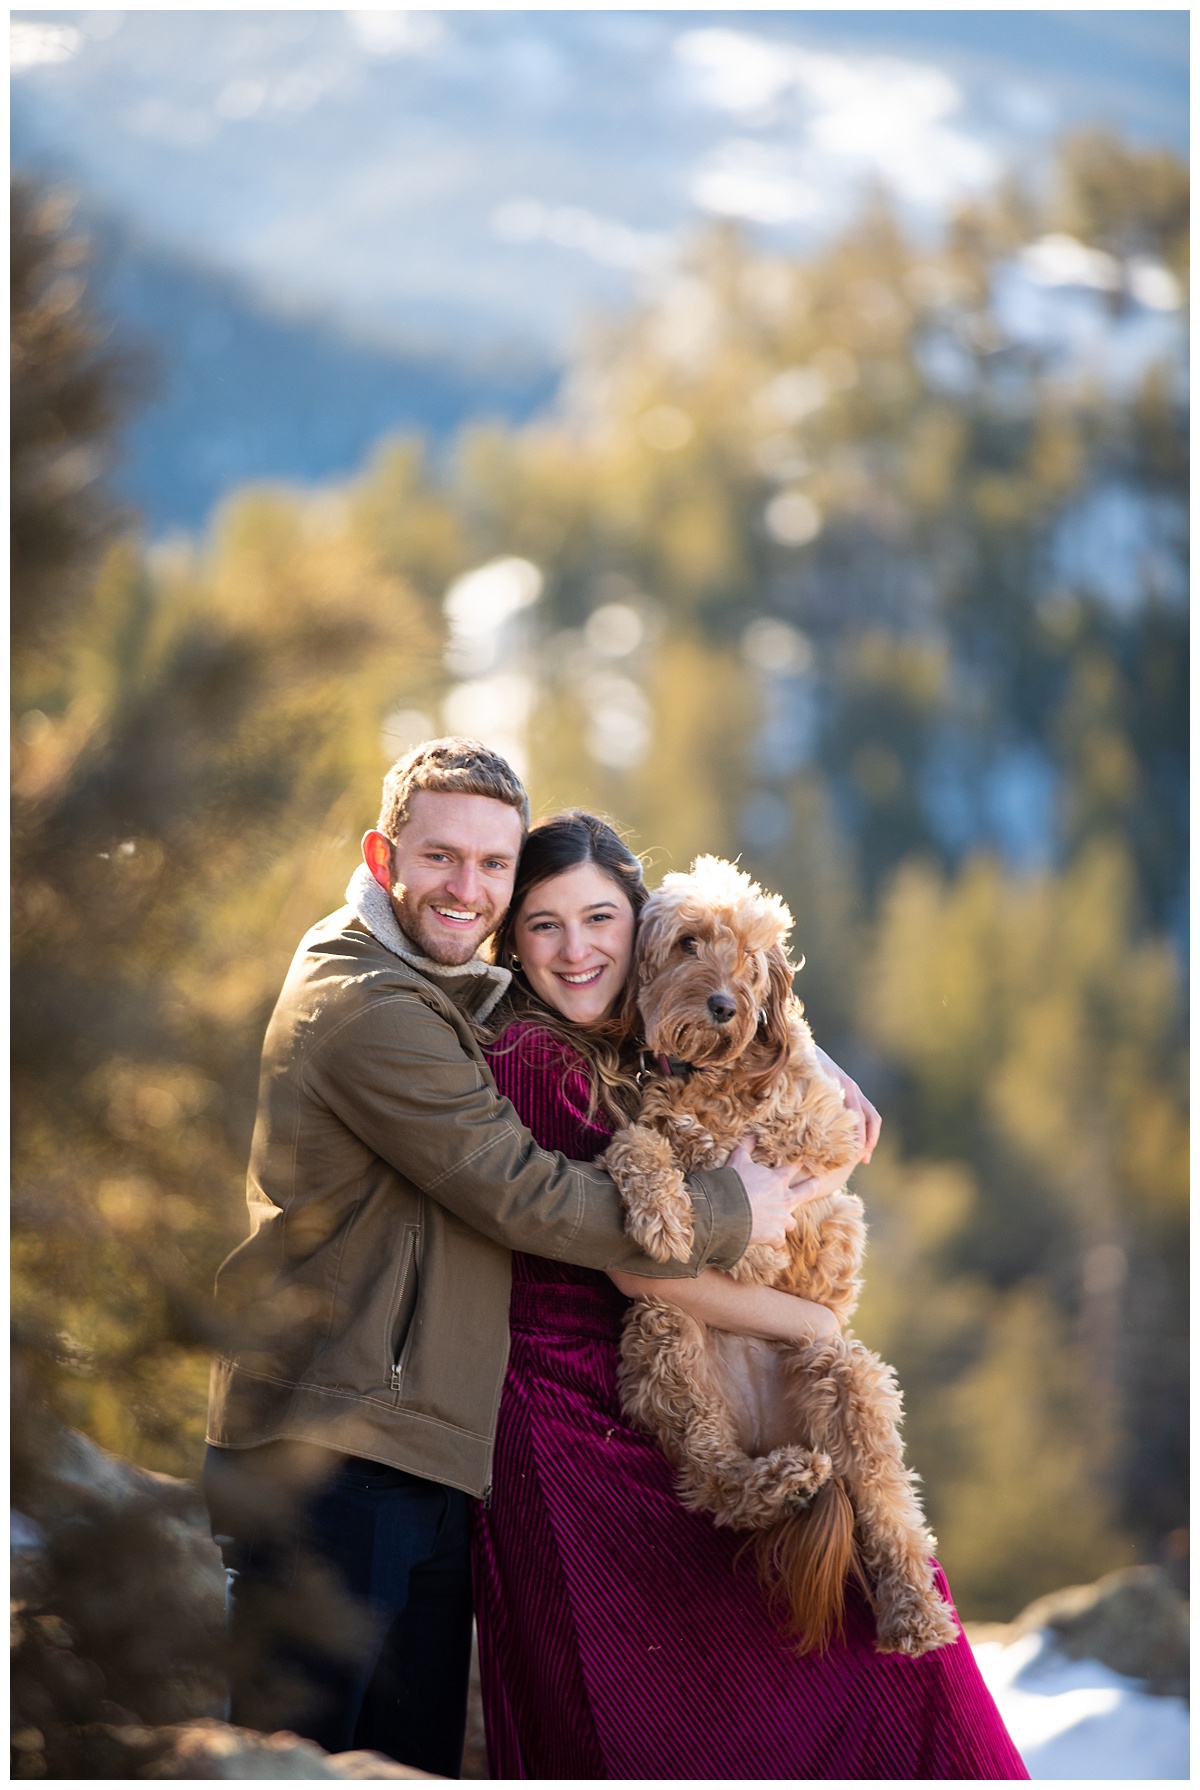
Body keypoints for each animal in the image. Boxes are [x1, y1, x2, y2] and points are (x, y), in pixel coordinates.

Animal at [605, 859, 967, 1653]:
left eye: (749, 957)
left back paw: (914, 1613)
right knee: (714, 1480)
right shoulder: (647, 1121)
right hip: (667, 1342)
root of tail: (768, 1431)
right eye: (688, 942)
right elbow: (637, 1141)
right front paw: (666, 1211)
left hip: (846, 1372)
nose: (722, 1005)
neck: (712, 1073)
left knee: (891, 1512)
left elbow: (760, 1148)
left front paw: (736, 1228)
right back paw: (779, 1483)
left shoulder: (823, 1131)